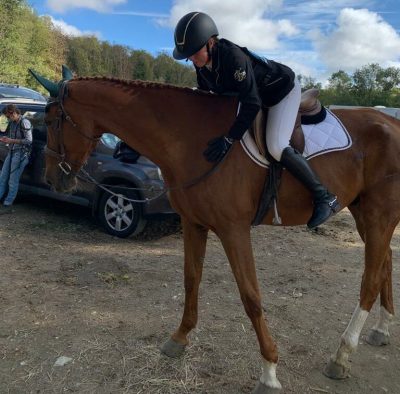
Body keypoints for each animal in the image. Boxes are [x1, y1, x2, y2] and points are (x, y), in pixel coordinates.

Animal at [34, 72, 400, 392]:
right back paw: (381, 329)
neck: (190, 138)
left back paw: (341, 356)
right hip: (364, 214)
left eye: (51, 121)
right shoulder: (193, 223)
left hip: (379, 215)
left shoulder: (233, 229)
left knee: (370, 280)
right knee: (385, 265)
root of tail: (391, 122)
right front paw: (178, 339)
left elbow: (251, 297)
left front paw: (269, 372)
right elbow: (191, 280)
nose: (51, 178)